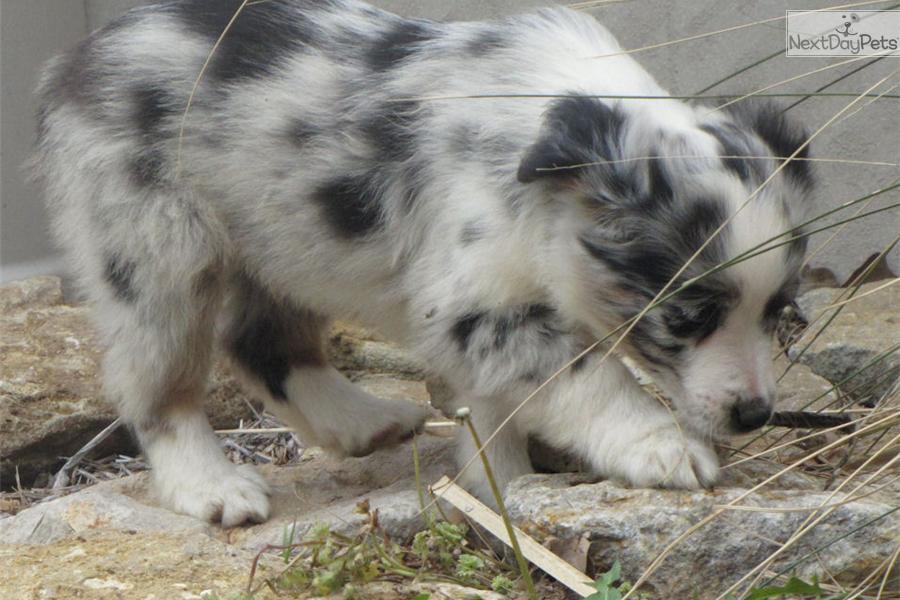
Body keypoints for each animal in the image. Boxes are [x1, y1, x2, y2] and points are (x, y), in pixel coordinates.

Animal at [31, 0, 812, 524]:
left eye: (779, 312)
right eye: (689, 317)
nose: (755, 416)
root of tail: (82, 56)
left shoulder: (490, 304)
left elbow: (499, 409)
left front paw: (499, 488)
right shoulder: (479, 306)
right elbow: (586, 377)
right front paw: (659, 448)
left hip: (282, 238)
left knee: (261, 342)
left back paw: (362, 421)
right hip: (156, 249)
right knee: (159, 386)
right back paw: (212, 488)